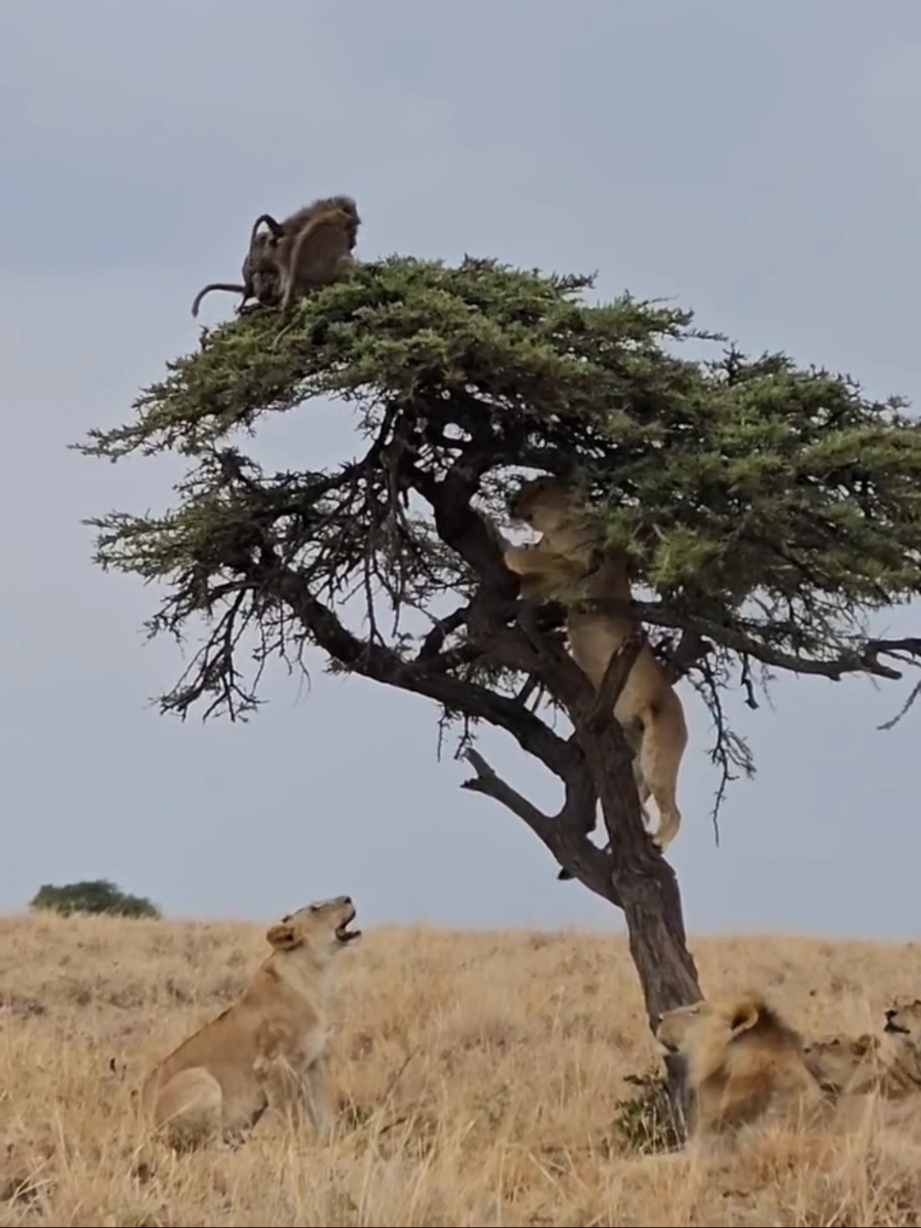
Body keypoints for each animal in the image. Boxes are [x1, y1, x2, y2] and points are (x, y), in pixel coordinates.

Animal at [140, 896, 360, 1150]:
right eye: (316, 908)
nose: (348, 897)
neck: (316, 976)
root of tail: (142, 1121)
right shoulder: (273, 1064)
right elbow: (289, 1114)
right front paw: (294, 1147)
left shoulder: (314, 1064)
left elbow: (324, 1113)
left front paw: (333, 1145)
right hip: (201, 1079)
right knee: (208, 1145)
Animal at [503, 475, 688, 851]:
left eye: (540, 486)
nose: (511, 501)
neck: (558, 528)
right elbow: (537, 575)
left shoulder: (583, 568)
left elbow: (544, 559)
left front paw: (513, 553)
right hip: (634, 750)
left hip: (659, 749)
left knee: (675, 812)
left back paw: (657, 841)